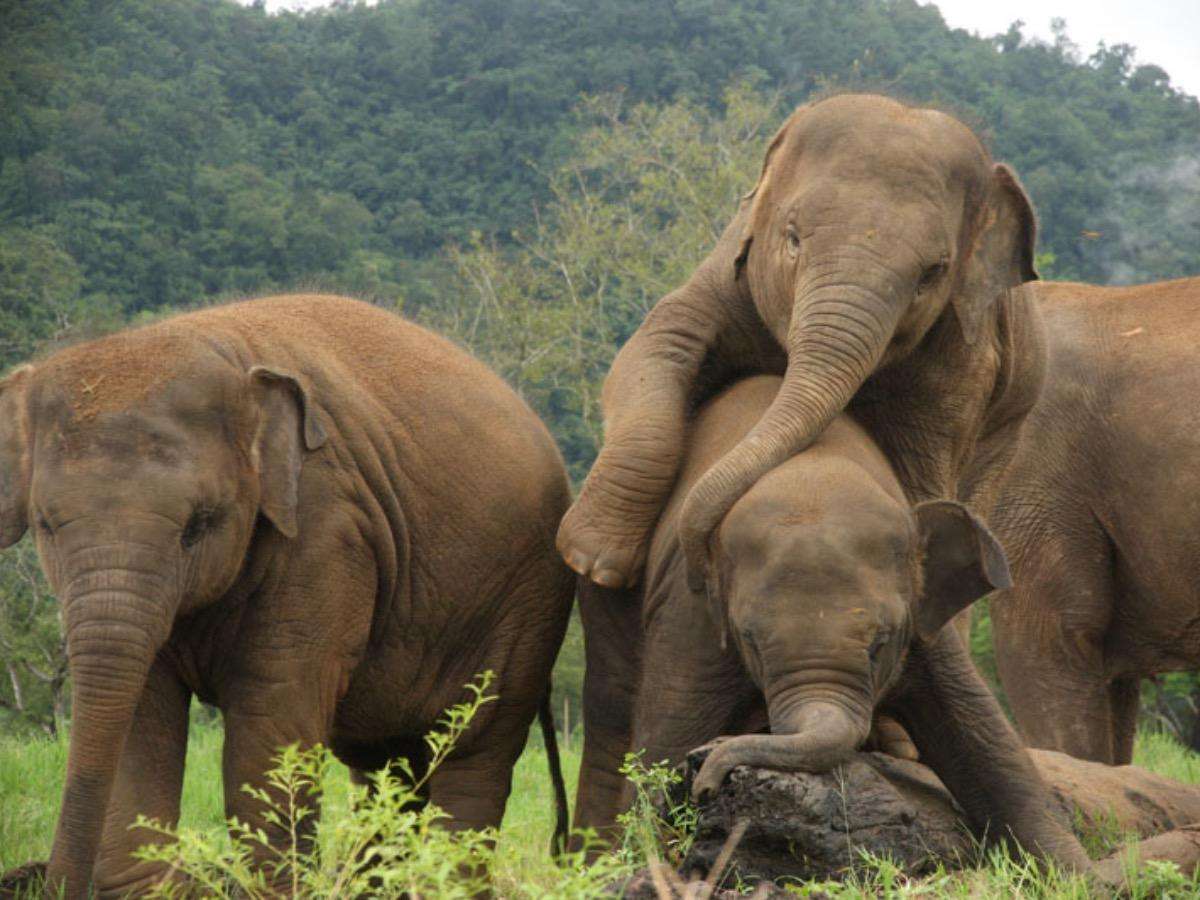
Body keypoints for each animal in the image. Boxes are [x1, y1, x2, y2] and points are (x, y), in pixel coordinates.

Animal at [0, 294, 573, 897]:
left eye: (198, 525)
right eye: (45, 525)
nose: (50, 879)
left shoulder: (328, 530)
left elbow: (272, 704)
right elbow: (143, 707)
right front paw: (152, 889)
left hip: (524, 604)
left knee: (475, 749)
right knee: (387, 762)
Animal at [556, 93, 1045, 598]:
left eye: (933, 273)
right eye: (792, 238)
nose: (698, 574)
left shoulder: (964, 355)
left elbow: (921, 467)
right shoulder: (729, 267)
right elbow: (661, 340)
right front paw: (593, 561)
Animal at [572, 375, 1092, 875]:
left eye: (881, 643)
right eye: (750, 641)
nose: (707, 778)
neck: (813, 469)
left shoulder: (924, 625)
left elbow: (986, 742)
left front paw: (1080, 874)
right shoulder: (692, 616)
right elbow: (664, 743)